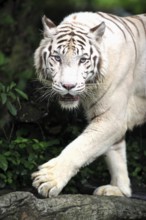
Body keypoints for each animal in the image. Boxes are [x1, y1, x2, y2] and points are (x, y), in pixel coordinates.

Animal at [32, 11, 146, 198]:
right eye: (57, 58)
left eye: (83, 60)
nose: (68, 86)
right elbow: (115, 154)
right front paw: (120, 190)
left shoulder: (111, 119)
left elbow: (80, 147)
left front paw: (49, 179)